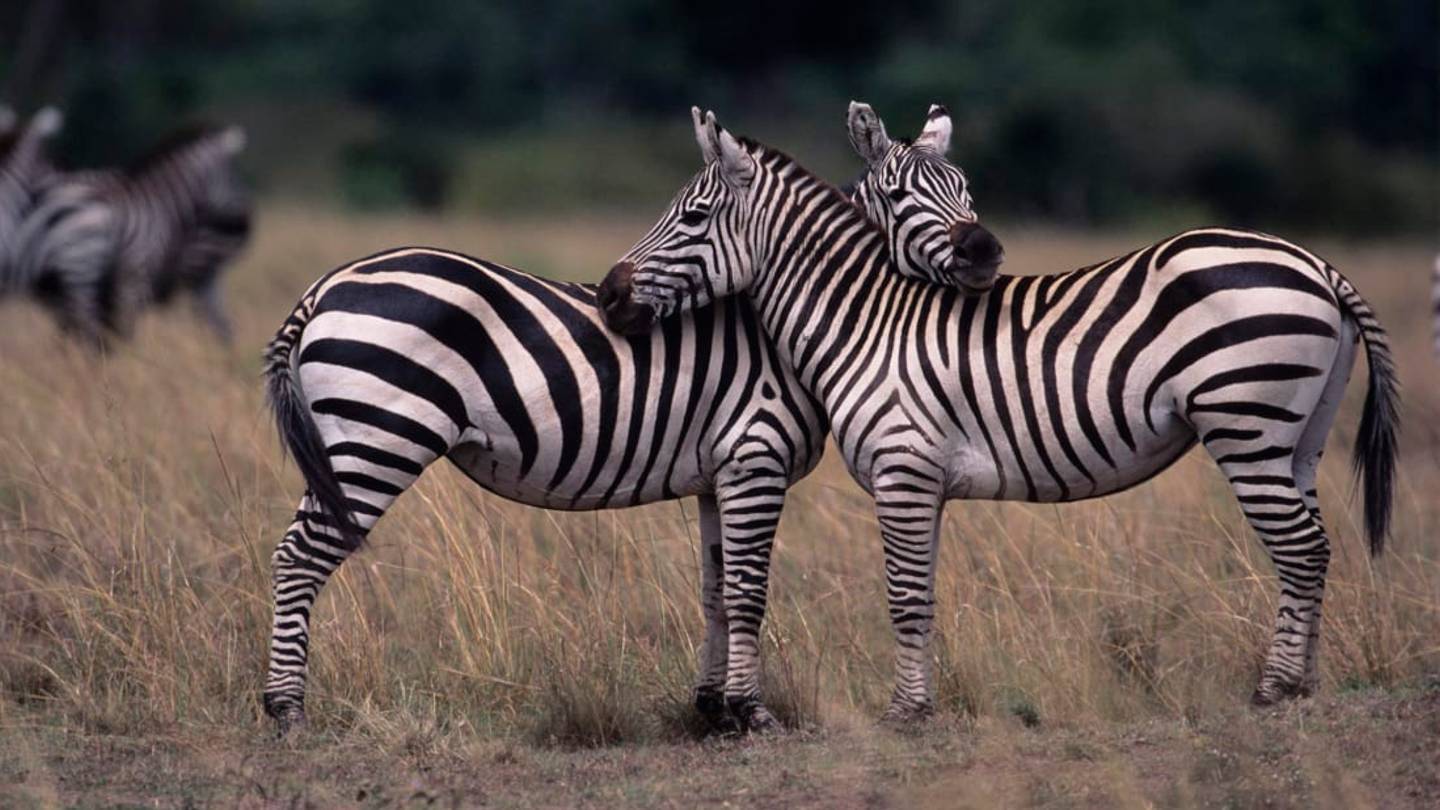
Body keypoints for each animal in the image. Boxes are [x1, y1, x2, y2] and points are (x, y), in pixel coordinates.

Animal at [8, 125, 250, 344]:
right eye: (235, 180)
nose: (244, 228)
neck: (159, 206)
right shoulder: (134, 277)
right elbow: (125, 330)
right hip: (81, 272)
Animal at [598, 107, 1400, 721]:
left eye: (692, 216)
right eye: (901, 194)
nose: (609, 295)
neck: (868, 318)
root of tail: (1315, 263)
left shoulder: (902, 470)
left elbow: (904, 597)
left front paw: (905, 713)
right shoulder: (926, 483)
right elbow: (923, 594)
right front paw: (920, 703)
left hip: (1246, 425)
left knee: (1301, 549)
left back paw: (1276, 689)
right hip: (1299, 439)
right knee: (1315, 546)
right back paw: (1303, 683)